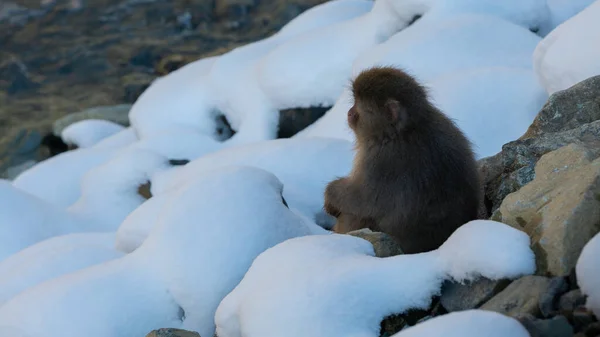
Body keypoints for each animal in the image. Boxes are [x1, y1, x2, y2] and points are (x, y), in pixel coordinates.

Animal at [324, 65, 482, 253]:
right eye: (354, 101)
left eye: (360, 106)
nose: (349, 113)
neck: (403, 131)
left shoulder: (381, 161)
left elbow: (363, 200)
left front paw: (331, 195)